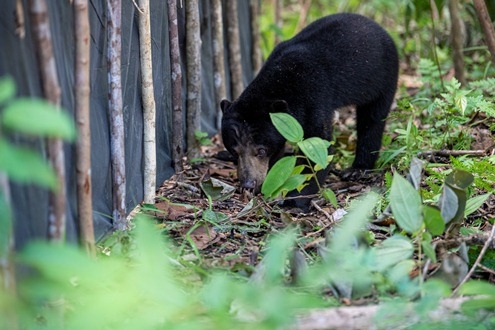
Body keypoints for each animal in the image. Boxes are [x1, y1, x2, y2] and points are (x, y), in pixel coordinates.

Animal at [221, 13, 400, 209]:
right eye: (234, 151)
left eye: (260, 150)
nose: (247, 183)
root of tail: (380, 28)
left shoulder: (315, 95)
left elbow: (319, 145)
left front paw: (295, 201)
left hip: (383, 76)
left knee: (372, 119)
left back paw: (357, 169)